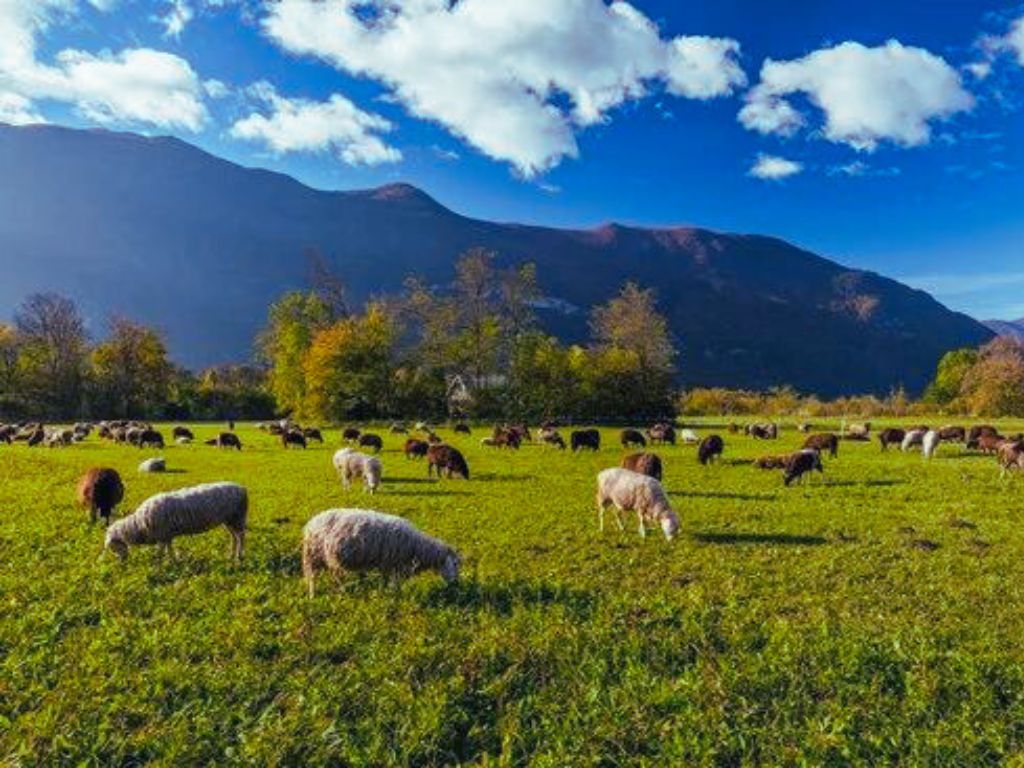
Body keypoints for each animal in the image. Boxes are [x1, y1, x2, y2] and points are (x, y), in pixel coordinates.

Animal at [104, 481, 247, 561]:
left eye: (113, 547)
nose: (122, 562)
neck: (138, 524)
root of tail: (242, 488)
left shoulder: (162, 536)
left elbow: (160, 553)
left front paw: (159, 567)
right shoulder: (167, 535)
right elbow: (170, 549)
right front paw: (173, 561)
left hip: (237, 517)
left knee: (241, 537)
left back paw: (239, 556)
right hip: (229, 520)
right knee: (234, 536)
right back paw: (231, 555)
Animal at [299, 507, 460, 598]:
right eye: (455, 564)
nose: (455, 583)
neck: (417, 547)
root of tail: (311, 522)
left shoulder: (388, 565)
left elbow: (386, 580)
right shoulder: (392, 564)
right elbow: (392, 583)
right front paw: (392, 594)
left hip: (329, 559)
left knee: (335, 575)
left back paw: (341, 590)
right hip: (313, 556)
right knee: (312, 578)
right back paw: (313, 595)